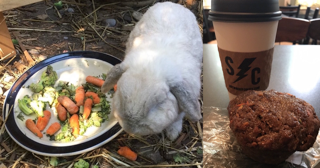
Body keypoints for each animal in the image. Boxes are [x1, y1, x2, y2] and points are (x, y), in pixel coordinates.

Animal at [101, 1, 202, 140]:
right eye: (121, 96)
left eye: (159, 103)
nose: (131, 128)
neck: (153, 61)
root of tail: (171, 4)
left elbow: (178, 118)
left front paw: (173, 134)